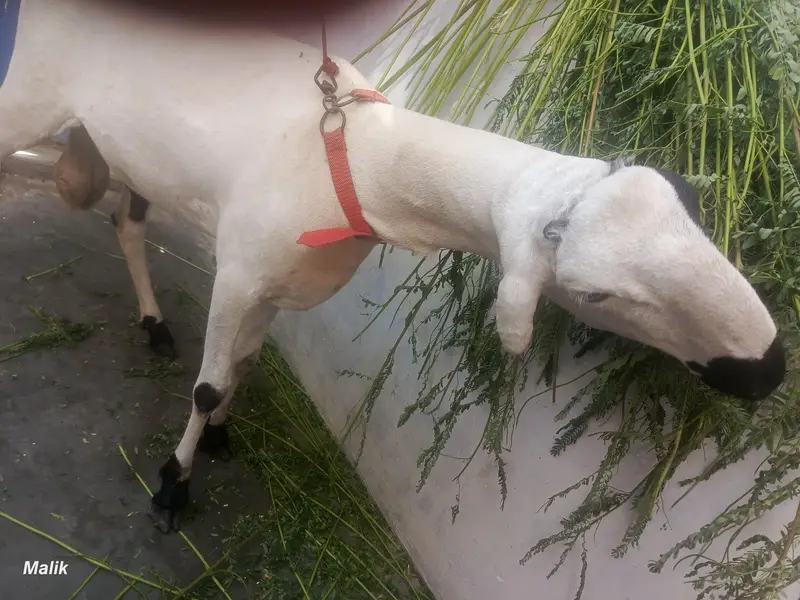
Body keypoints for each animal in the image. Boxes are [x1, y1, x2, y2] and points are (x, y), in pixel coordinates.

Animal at [0, 0, 785, 533]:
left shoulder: (273, 282)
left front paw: (221, 436)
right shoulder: (241, 271)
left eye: (689, 201)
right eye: (595, 292)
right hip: (28, 95)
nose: (769, 368)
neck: (360, 157)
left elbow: (240, 368)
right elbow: (207, 385)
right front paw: (171, 486)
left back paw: (154, 324)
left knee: (126, 223)